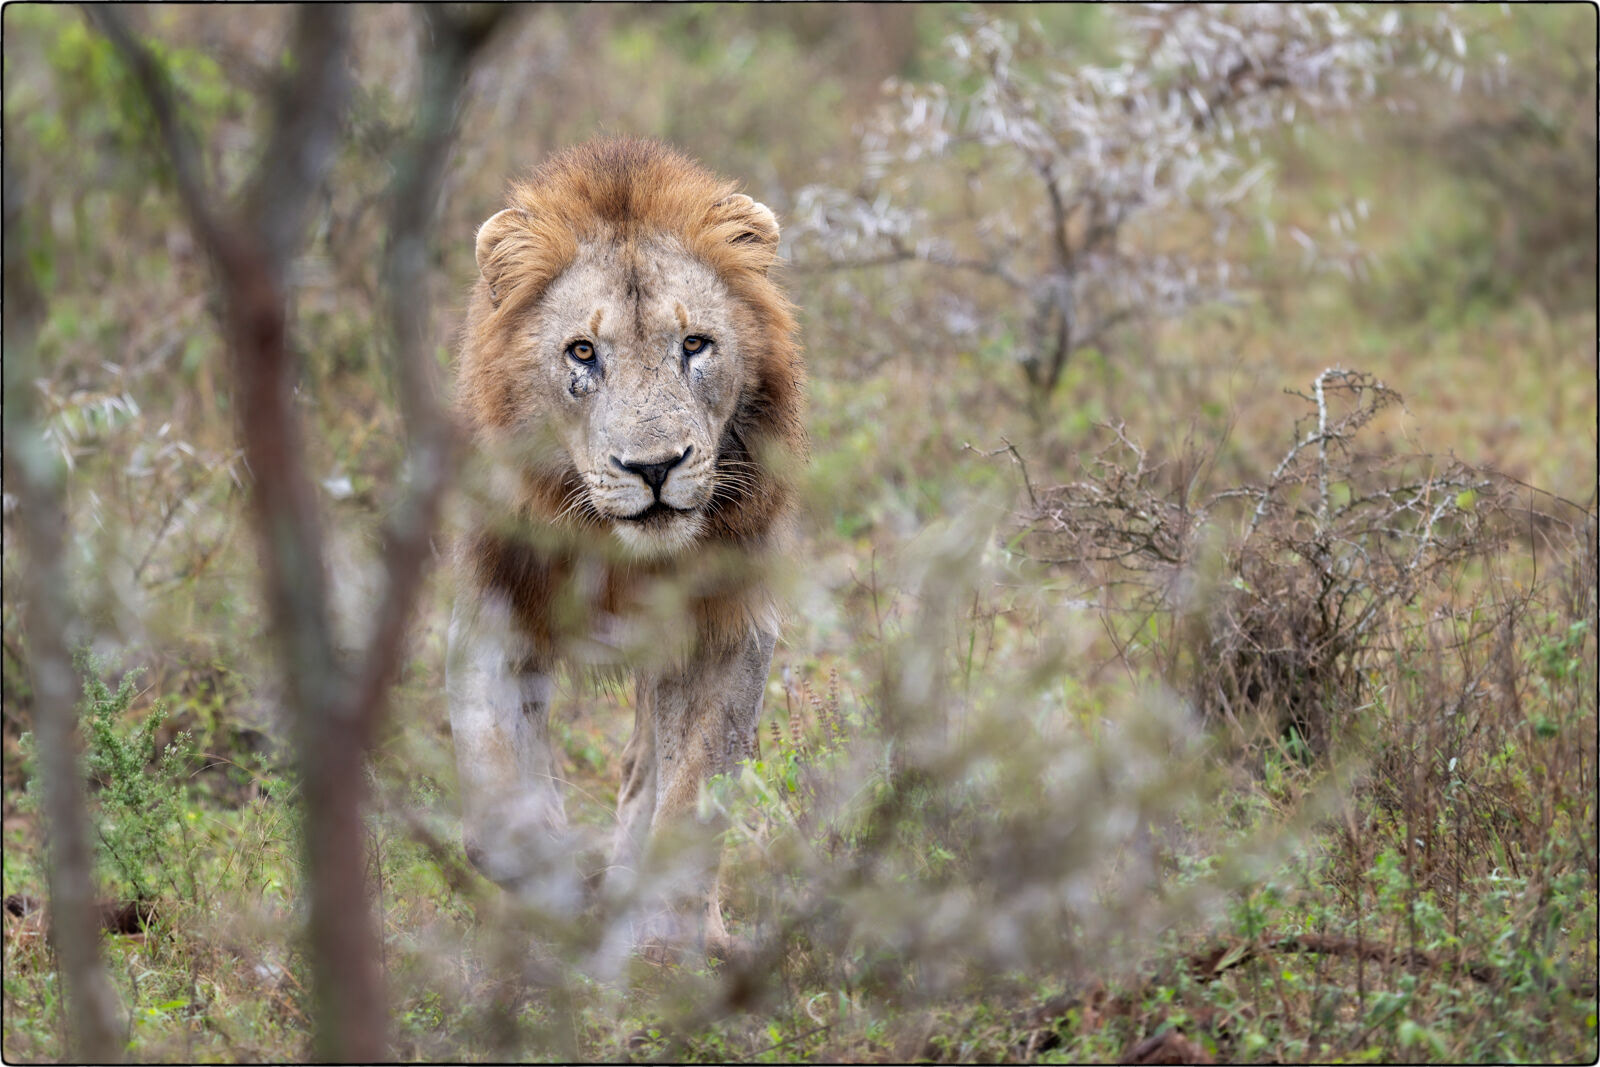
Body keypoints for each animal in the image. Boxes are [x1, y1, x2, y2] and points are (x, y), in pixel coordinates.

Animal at [446, 138, 805, 962]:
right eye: (583, 352)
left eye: (695, 344)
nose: (654, 468)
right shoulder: (490, 612)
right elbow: (496, 802)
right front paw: (557, 885)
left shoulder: (729, 628)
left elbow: (693, 790)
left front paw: (664, 941)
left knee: (647, 772)